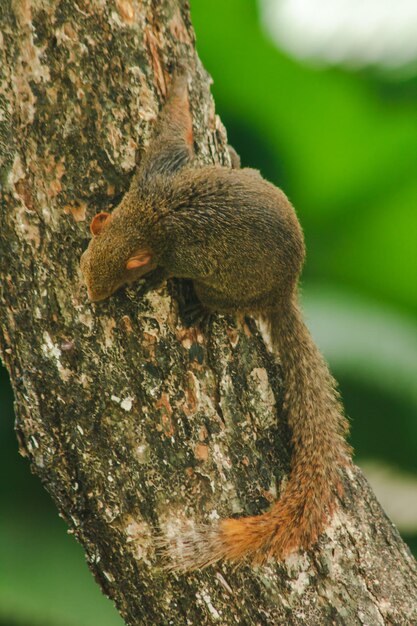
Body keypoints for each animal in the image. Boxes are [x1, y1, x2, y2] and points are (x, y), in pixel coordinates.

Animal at [79, 73, 350, 572]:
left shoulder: (175, 243)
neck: (149, 218)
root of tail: (283, 293)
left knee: (222, 302)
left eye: (113, 282)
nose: (90, 295)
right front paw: (180, 79)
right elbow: (174, 126)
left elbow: (168, 266)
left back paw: (203, 308)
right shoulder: (158, 171)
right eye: (86, 259)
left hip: (227, 290)